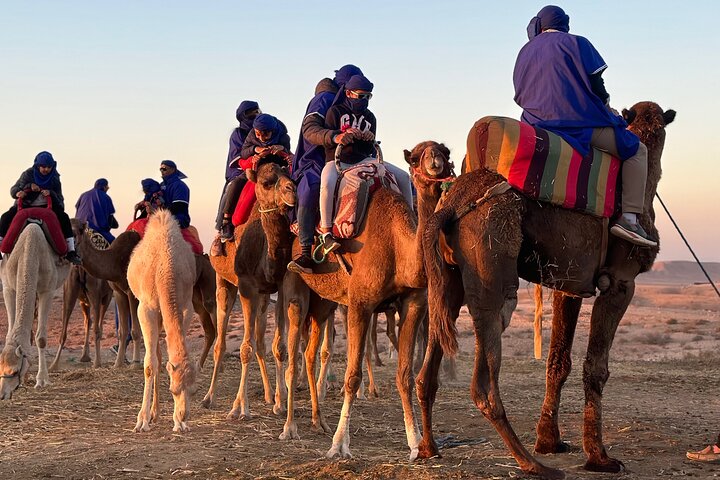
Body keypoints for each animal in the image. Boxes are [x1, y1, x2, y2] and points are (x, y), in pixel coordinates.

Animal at [0, 223, 71, 399]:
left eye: (14, 371)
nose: (2, 395)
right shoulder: (8, 287)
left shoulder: (47, 290)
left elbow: (41, 338)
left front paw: (42, 380)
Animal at [72, 219, 217, 369]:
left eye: (78, 230)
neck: (116, 259)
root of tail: (205, 256)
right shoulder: (119, 293)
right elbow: (122, 331)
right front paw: (118, 364)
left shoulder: (132, 293)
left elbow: (136, 331)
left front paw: (136, 363)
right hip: (194, 294)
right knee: (208, 328)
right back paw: (199, 365)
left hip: (208, 280)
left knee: (213, 312)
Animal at [127, 209, 196, 432]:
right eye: (173, 390)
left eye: (193, 390)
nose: (184, 414)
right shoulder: (145, 308)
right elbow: (150, 365)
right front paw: (142, 421)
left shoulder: (185, 306)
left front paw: (179, 423)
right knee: (155, 356)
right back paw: (151, 415)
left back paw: (156, 413)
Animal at [271, 142, 453, 456]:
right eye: (415, 157)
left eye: (444, 150)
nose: (435, 161)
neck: (398, 248)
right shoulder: (360, 304)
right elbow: (352, 376)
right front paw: (338, 446)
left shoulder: (414, 304)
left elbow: (404, 374)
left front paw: (416, 443)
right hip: (294, 289)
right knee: (293, 357)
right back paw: (289, 428)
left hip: (324, 302)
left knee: (309, 353)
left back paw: (318, 422)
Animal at [418, 102, 675, 478]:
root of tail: (451, 204)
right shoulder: (621, 282)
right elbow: (596, 368)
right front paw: (599, 457)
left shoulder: (571, 285)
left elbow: (558, 362)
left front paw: (550, 441)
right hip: (492, 266)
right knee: (484, 380)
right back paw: (532, 463)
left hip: (447, 281)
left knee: (428, 368)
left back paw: (429, 449)